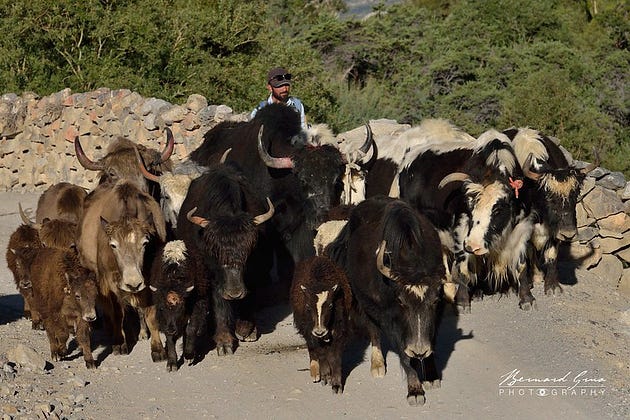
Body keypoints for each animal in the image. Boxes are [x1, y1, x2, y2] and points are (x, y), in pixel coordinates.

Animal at [292, 256, 356, 394]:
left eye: (331, 306)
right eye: (308, 307)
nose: (319, 331)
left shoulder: (339, 331)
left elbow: (334, 357)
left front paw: (336, 385)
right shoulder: (310, 331)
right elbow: (320, 353)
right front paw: (326, 376)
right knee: (312, 349)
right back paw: (316, 373)